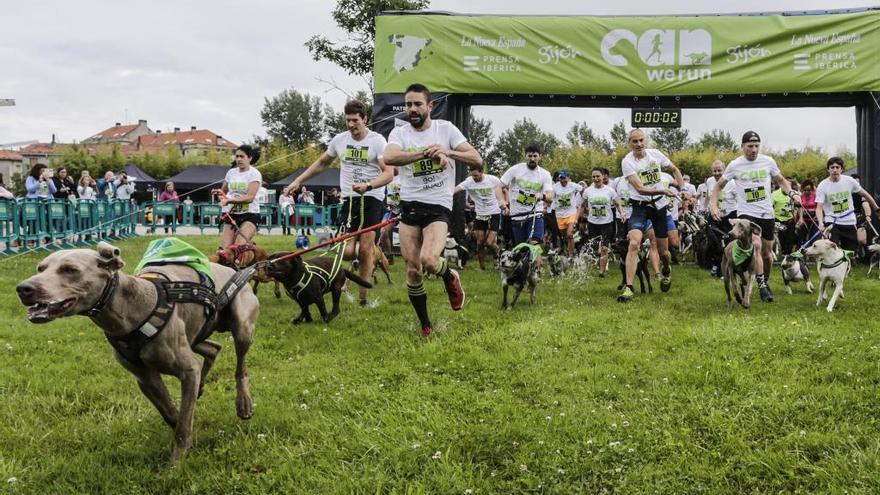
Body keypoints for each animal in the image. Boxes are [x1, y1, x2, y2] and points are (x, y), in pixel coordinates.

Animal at [16, 242, 258, 466]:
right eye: (40, 268)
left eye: (70, 269)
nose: (23, 288)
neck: (133, 307)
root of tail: (233, 268)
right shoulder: (145, 378)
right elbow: (172, 414)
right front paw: (190, 437)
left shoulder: (187, 370)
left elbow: (182, 423)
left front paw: (176, 463)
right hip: (195, 335)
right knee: (213, 349)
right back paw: (202, 386)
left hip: (241, 326)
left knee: (241, 366)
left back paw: (244, 403)